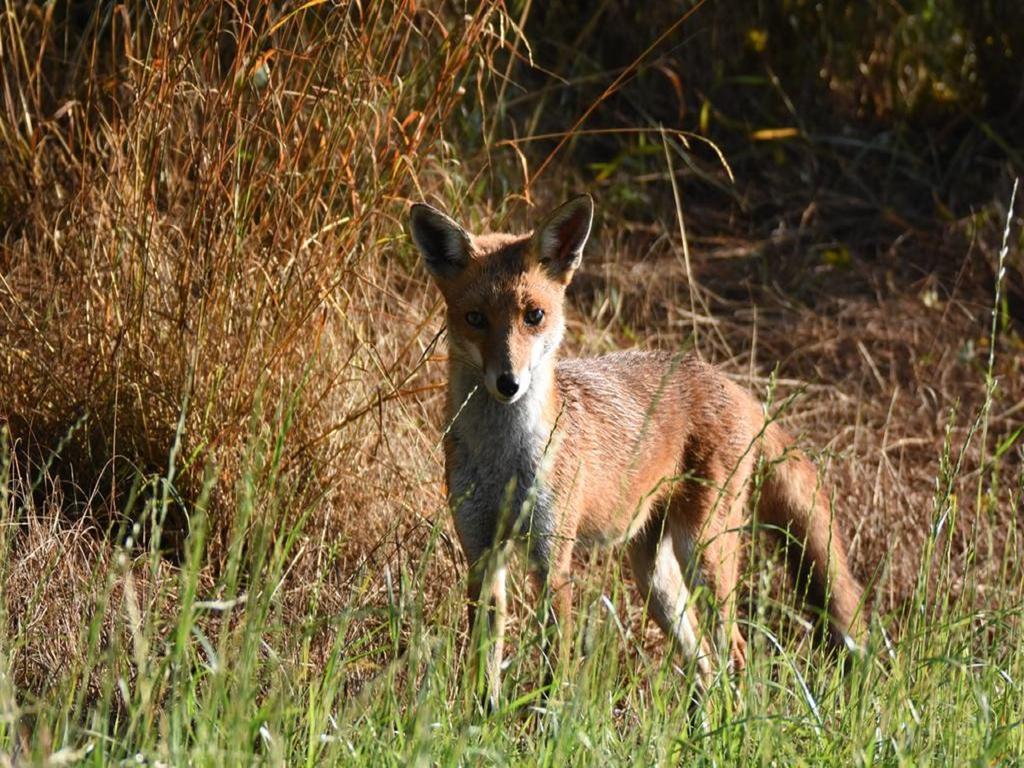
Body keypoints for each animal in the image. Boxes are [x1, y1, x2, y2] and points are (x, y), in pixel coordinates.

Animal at [405, 192, 864, 708]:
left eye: (533, 316)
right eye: (476, 319)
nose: (509, 383)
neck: (503, 460)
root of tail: (734, 386)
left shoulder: (552, 559)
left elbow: (554, 671)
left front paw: (547, 722)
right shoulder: (482, 556)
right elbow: (484, 671)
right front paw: (481, 720)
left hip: (703, 551)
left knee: (736, 650)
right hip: (654, 579)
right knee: (704, 661)